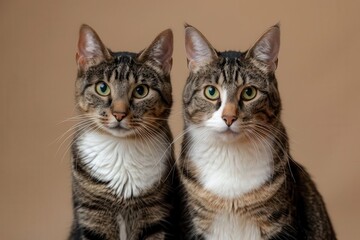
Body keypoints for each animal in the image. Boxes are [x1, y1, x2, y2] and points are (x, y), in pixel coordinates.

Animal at [68, 24, 179, 240]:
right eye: (102, 88)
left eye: (141, 91)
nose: (119, 114)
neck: (120, 148)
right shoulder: (92, 214)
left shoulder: (154, 215)